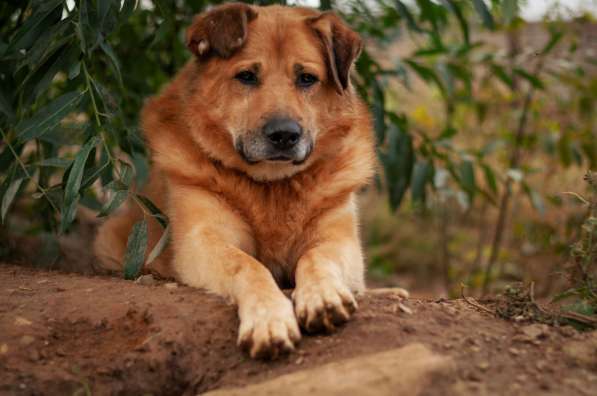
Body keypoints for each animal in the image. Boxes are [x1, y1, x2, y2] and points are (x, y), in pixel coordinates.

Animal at [93, 1, 374, 358]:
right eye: (247, 76)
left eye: (307, 79)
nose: (284, 135)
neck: (272, 187)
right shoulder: (203, 240)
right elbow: (249, 265)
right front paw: (269, 318)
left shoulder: (341, 242)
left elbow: (316, 256)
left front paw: (322, 295)